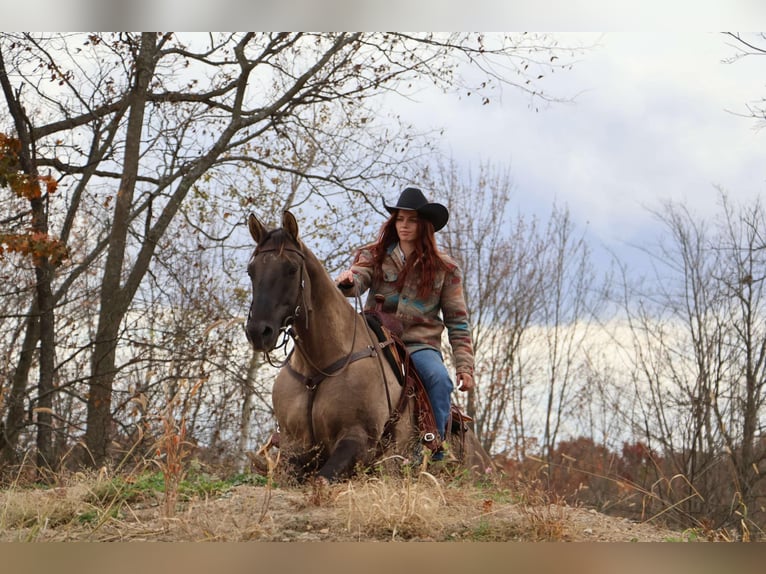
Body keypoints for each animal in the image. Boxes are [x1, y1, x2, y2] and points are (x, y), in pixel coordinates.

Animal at [248, 212, 498, 486]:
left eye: (292, 269)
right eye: (251, 271)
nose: (258, 331)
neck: (320, 367)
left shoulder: (358, 440)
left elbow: (323, 479)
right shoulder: (295, 445)